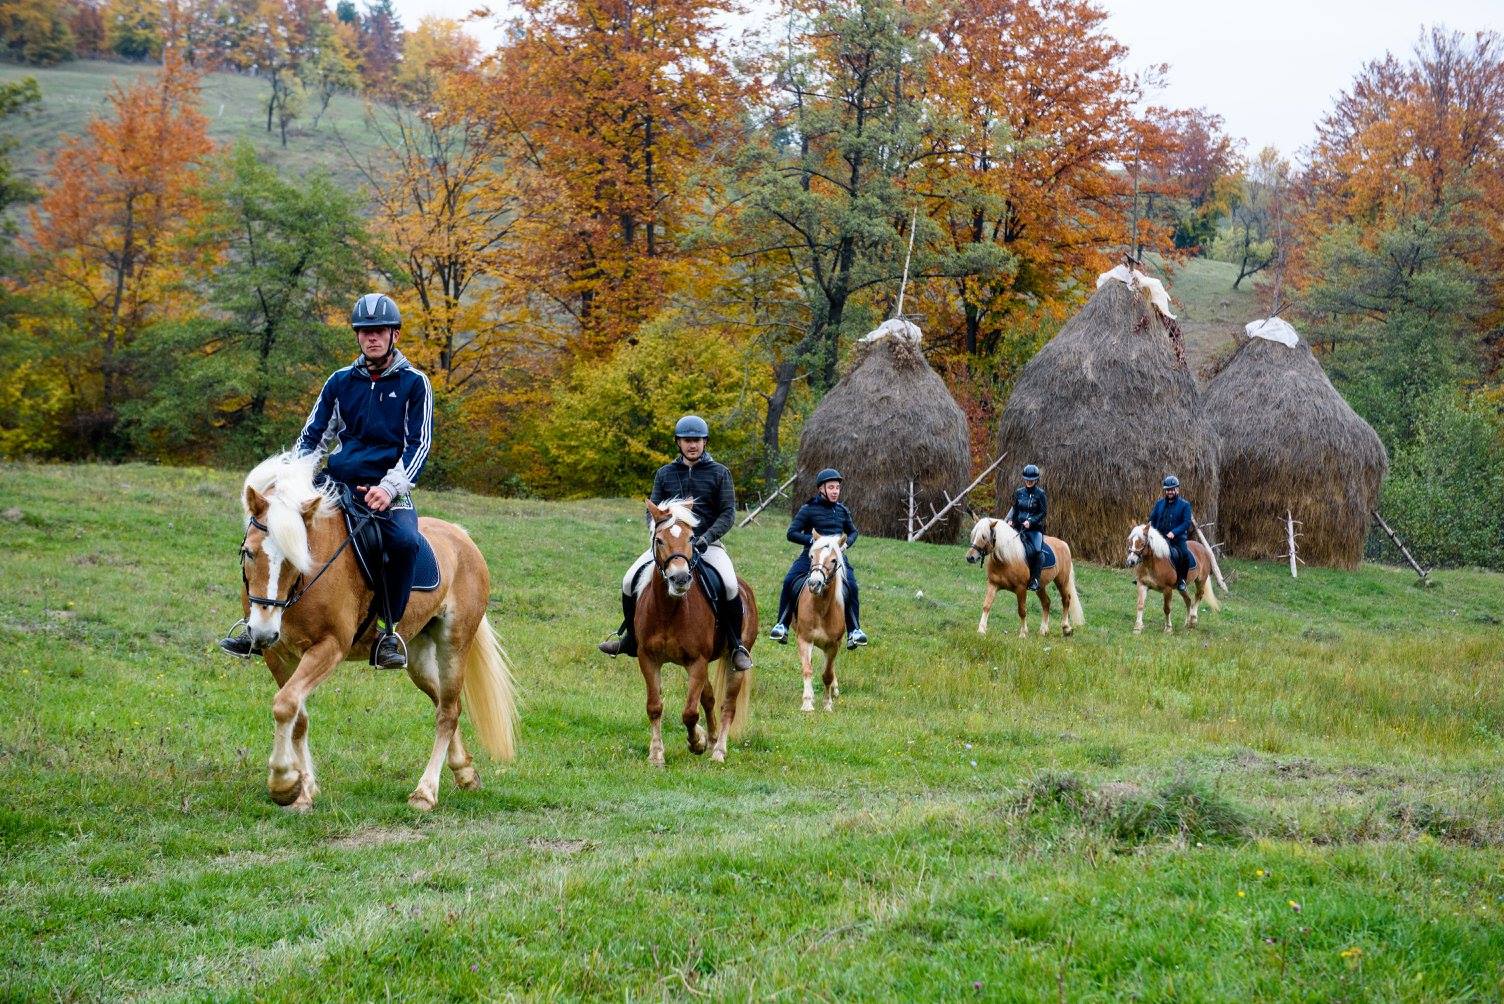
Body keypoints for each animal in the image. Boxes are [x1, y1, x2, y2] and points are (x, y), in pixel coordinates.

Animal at [231, 450, 517, 811]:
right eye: (249, 552)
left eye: (297, 557)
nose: (264, 631)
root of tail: (462, 537)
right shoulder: (278, 654)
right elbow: (297, 714)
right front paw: (303, 790)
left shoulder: (329, 647)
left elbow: (285, 705)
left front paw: (283, 783)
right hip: (417, 657)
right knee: (442, 702)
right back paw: (465, 773)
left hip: (455, 642)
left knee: (448, 712)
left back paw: (425, 792)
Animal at [634, 498, 758, 763]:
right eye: (659, 540)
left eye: (692, 538)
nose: (680, 578)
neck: (669, 611)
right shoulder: (648, 658)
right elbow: (655, 706)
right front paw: (656, 754)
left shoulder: (697, 661)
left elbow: (690, 712)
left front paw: (696, 742)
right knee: (709, 698)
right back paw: (711, 739)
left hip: (734, 663)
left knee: (727, 705)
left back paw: (718, 750)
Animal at [788, 532, 848, 712]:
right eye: (812, 556)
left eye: (834, 560)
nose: (814, 584)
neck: (822, 609)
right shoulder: (805, 639)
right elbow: (807, 669)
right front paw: (807, 703)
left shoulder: (833, 645)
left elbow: (827, 674)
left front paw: (828, 704)